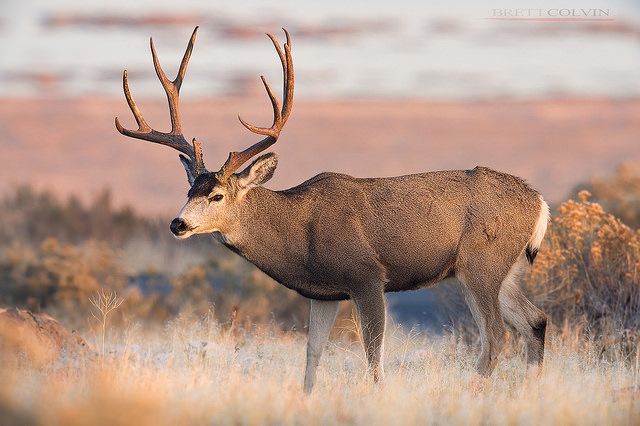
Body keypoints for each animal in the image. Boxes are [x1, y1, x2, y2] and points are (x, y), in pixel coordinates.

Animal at [116, 26, 552, 392]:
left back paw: (471, 391)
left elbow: (373, 356)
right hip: (504, 270)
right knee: (536, 321)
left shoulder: (368, 276)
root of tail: (539, 201)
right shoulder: (323, 293)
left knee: (495, 335)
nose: (177, 223)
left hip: (480, 263)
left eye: (217, 195)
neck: (298, 230)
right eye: (190, 188)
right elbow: (312, 357)